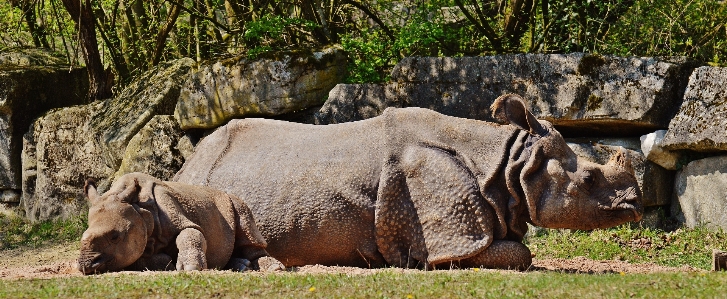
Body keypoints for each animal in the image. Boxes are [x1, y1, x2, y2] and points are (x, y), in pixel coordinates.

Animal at [79, 172, 272, 276]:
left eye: (115, 236)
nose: (85, 265)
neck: (141, 210)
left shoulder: (178, 216)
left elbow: (190, 233)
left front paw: (190, 267)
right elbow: (139, 259)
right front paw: (168, 263)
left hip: (234, 202)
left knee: (245, 223)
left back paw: (271, 267)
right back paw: (243, 267)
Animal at [175, 93, 644, 270]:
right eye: (589, 176)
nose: (635, 205)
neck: (507, 164)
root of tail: (189, 163)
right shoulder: (447, 223)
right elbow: (519, 254)